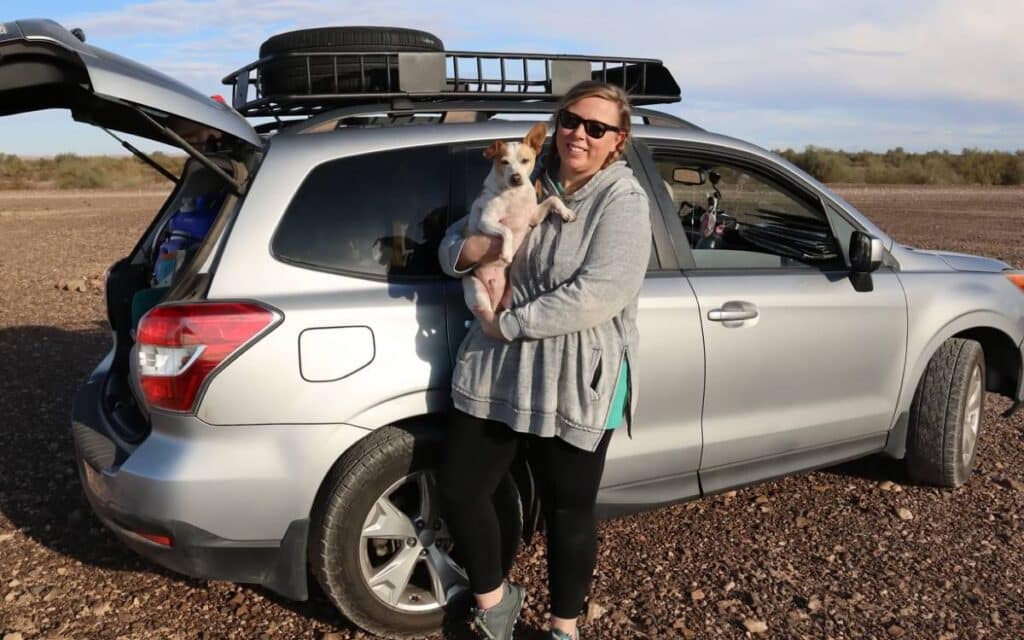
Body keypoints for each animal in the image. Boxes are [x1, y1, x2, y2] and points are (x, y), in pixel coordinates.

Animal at [464, 120, 577, 319]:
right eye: (504, 162)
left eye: (525, 161)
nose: (516, 177)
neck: (514, 195)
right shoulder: (485, 221)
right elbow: (507, 229)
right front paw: (507, 252)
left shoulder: (533, 216)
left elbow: (553, 199)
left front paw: (566, 212)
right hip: (476, 292)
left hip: (510, 296)